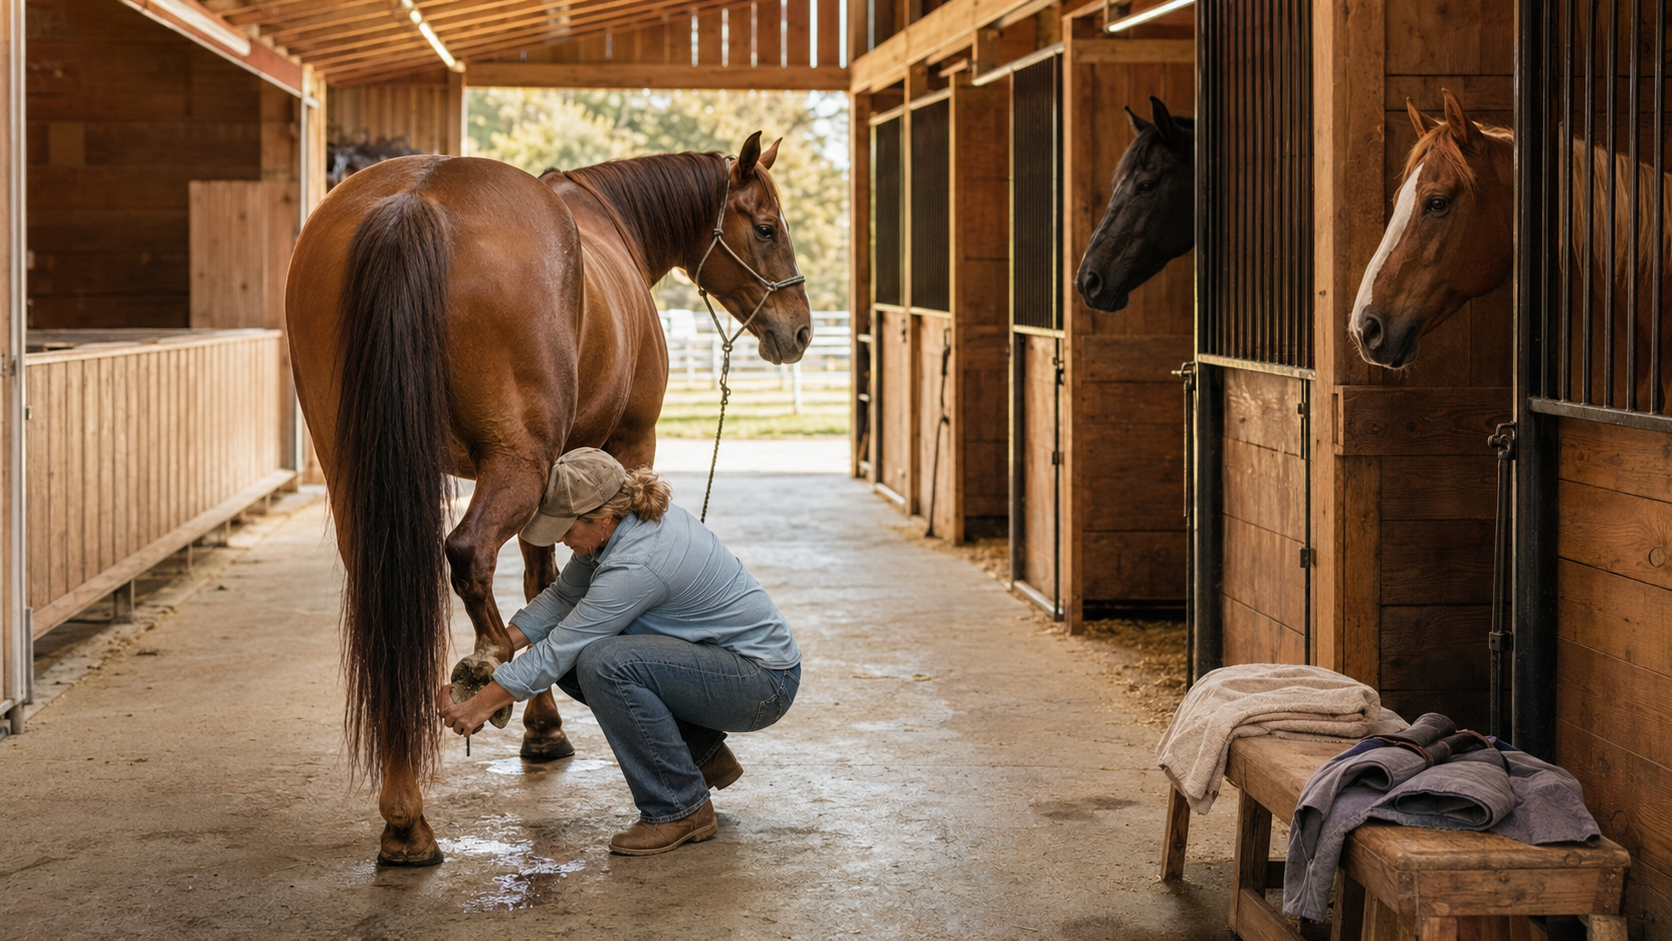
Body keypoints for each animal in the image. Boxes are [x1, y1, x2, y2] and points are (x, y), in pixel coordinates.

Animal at [285, 132, 811, 866]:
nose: (800, 330)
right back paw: (487, 669)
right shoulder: (622, 442)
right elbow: (547, 577)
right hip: (517, 461)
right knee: (468, 551)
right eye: (765, 227)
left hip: (358, 476)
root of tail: (414, 199)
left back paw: (405, 818)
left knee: (391, 607)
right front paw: (543, 726)